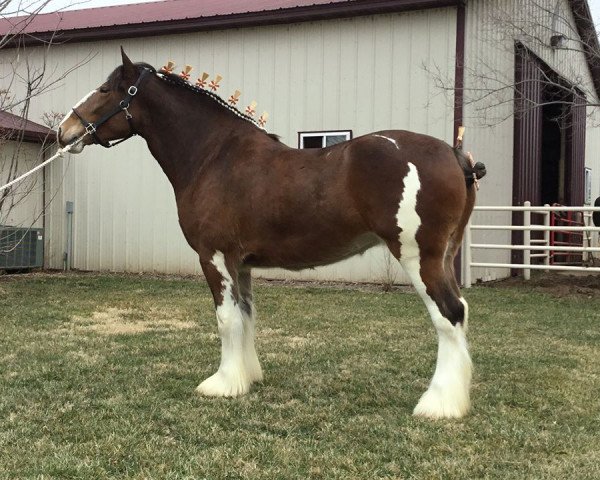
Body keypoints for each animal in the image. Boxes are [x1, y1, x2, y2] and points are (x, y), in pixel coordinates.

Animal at [57, 48, 488, 416]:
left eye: (106, 89)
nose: (65, 129)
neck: (214, 156)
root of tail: (454, 155)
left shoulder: (214, 257)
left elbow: (226, 319)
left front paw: (222, 384)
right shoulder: (242, 264)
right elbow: (246, 315)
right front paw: (245, 378)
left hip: (419, 256)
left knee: (448, 314)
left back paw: (439, 405)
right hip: (444, 256)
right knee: (460, 312)